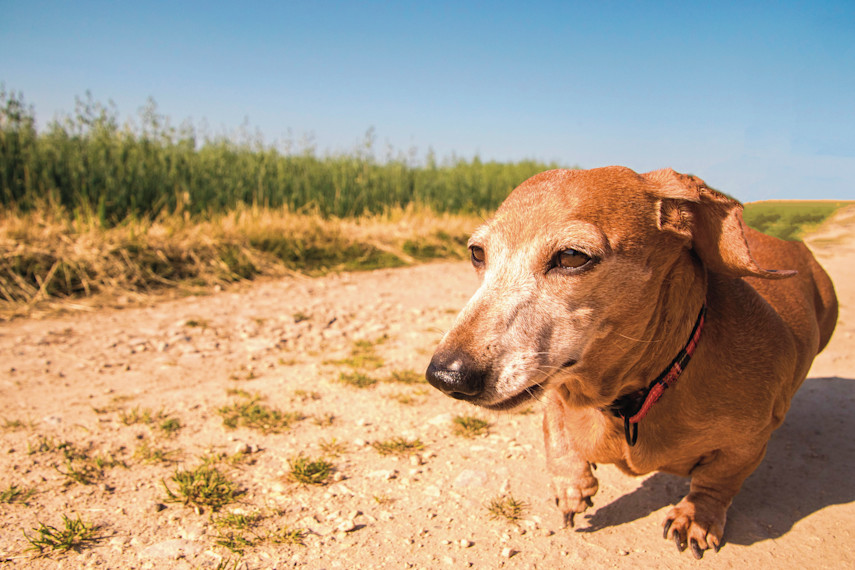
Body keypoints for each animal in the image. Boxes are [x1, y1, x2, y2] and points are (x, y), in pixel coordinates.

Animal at [424, 164, 840, 556]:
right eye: (477, 253)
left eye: (571, 256)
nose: (446, 376)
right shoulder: (556, 384)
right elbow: (556, 428)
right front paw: (571, 485)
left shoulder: (749, 442)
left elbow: (718, 481)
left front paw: (696, 517)